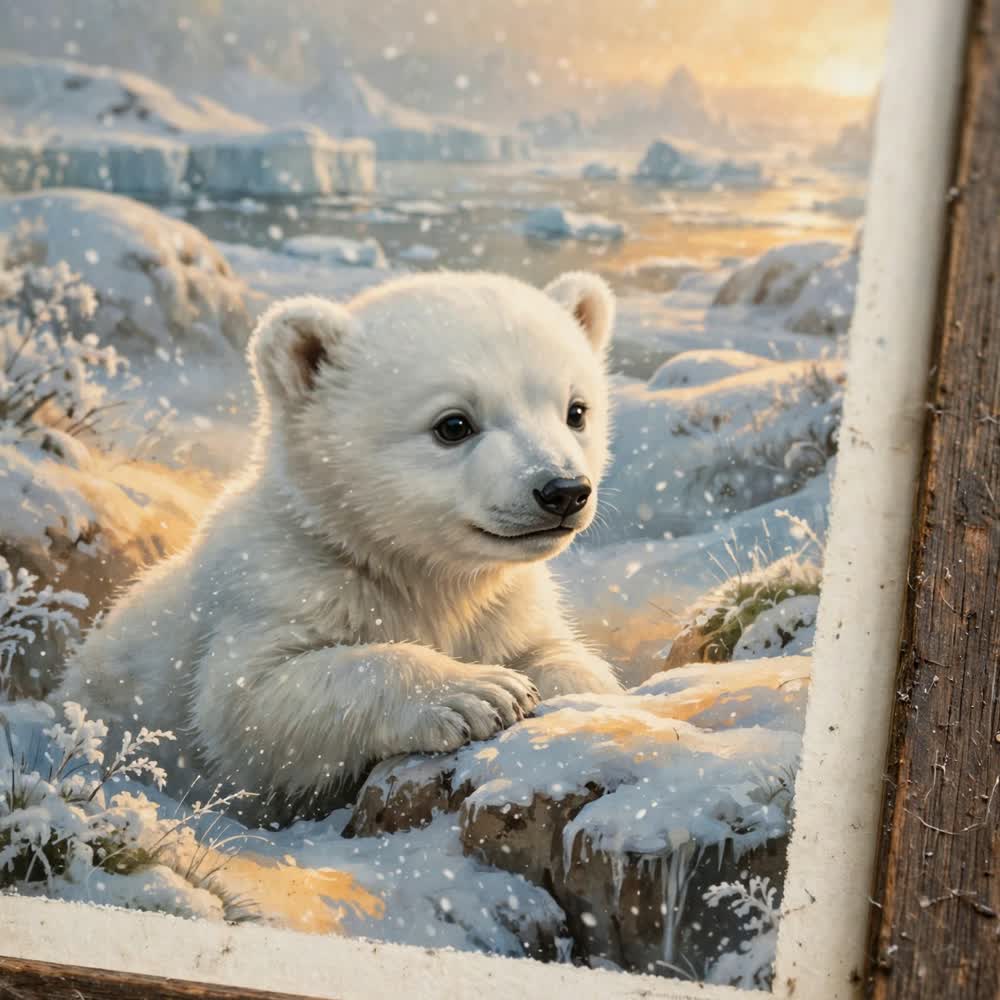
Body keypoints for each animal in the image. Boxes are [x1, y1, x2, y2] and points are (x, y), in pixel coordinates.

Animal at [58, 270, 622, 824]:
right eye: (454, 424)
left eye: (576, 411)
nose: (563, 490)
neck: (408, 568)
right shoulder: (279, 587)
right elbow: (251, 705)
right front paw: (479, 693)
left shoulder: (505, 607)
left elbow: (557, 654)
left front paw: (583, 697)